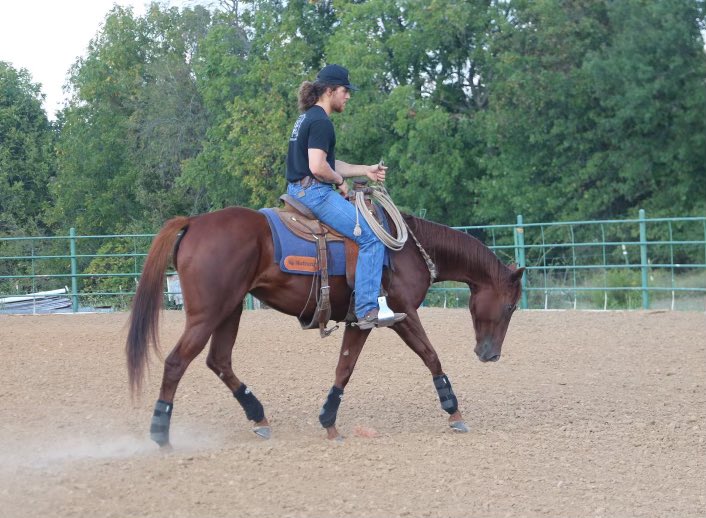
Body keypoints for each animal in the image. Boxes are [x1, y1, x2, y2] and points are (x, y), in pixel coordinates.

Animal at [126, 206, 524, 446]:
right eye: (510, 305)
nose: (490, 354)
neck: (405, 250)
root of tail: (194, 221)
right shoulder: (402, 313)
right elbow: (431, 356)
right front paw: (454, 411)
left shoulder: (360, 322)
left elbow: (344, 367)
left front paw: (329, 420)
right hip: (208, 313)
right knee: (177, 362)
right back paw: (160, 433)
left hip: (229, 310)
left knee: (219, 361)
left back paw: (259, 417)